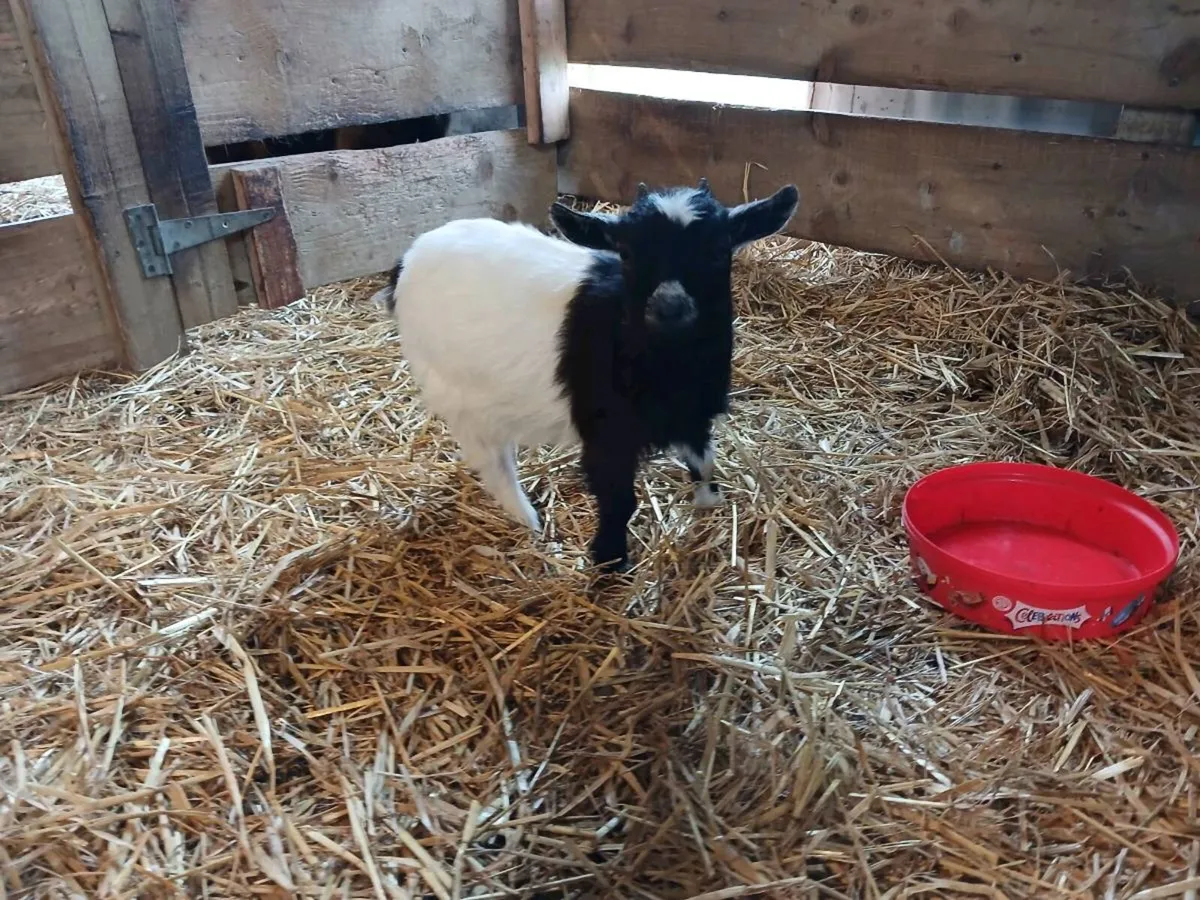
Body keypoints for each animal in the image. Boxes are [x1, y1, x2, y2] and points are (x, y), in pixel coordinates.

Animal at [374, 180, 800, 570]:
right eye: (626, 253)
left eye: (717, 249)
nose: (669, 307)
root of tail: (406, 261)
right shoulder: (605, 433)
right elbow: (618, 498)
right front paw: (608, 560)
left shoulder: (694, 415)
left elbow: (705, 463)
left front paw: (709, 504)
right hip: (453, 387)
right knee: (493, 461)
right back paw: (528, 520)